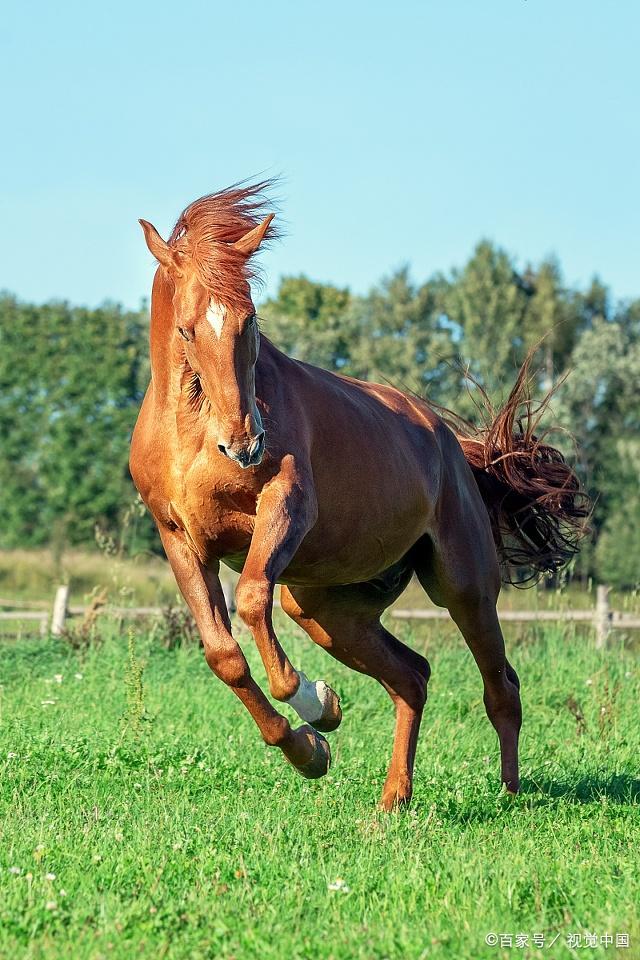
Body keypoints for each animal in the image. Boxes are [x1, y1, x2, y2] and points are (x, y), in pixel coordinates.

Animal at [129, 180, 584, 808]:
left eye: (250, 321)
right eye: (186, 328)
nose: (244, 443)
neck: (192, 435)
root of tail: (453, 448)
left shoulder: (288, 502)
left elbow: (252, 598)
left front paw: (314, 701)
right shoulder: (180, 539)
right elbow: (223, 655)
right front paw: (312, 746)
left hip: (463, 586)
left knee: (501, 686)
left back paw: (510, 793)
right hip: (326, 606)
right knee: (412, 675)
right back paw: (394, 798)